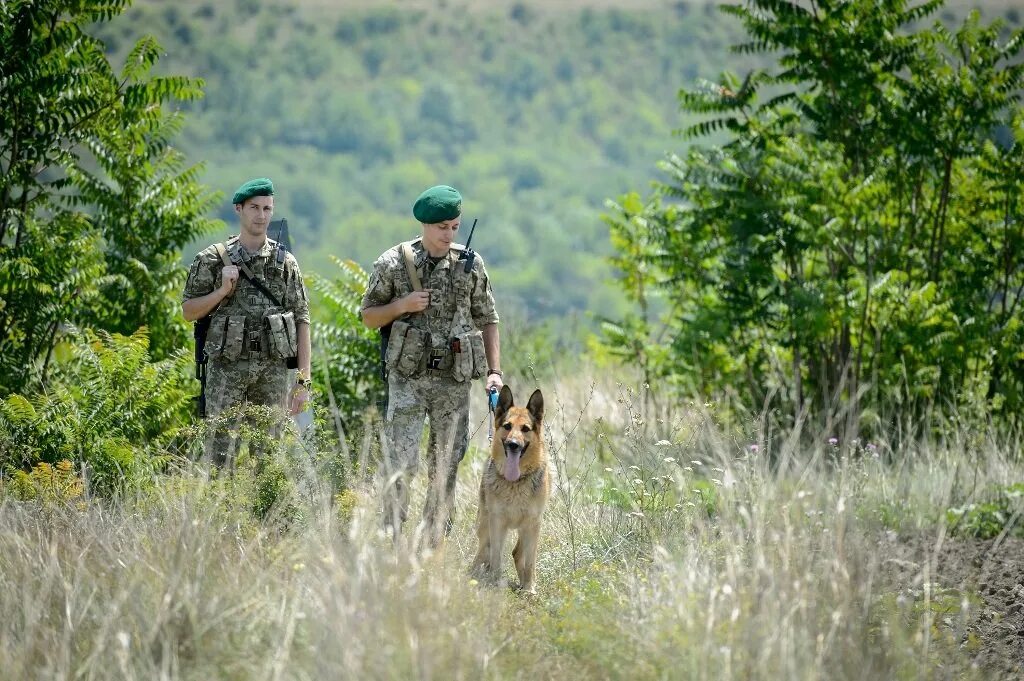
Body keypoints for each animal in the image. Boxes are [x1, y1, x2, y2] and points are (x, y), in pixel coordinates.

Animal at [473, 385, 552, 593]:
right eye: (507, 426)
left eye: (525, 429)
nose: (513, 445)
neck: (515, 482)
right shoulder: (497, 522)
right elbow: (496, 556)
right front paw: (494, 582)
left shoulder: (533, 523)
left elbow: (530, 562)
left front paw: (529, 589)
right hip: (485, 524)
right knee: (483, 550)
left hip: (526, 529)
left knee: (518, 553)